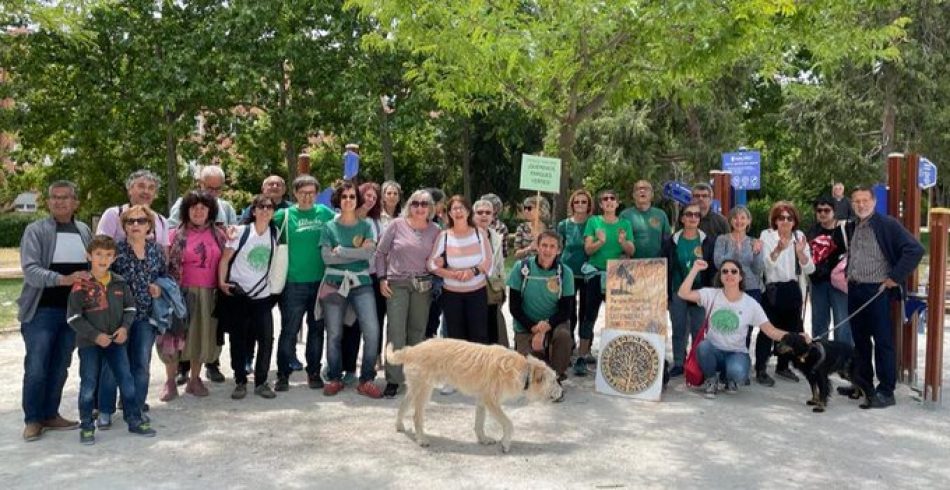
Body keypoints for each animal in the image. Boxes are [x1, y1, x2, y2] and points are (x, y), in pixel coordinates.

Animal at [388, 338, 564, 454]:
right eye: (554, 380)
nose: (563, 392)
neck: (523, 371)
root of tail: (411, 349)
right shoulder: (491, 401)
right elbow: (509, 424)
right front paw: (506, 443)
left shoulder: (482, 400)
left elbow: (479, 423)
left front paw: (483, 439)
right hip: (423, 391)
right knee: (416, 416)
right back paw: (421, 439)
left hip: (416, 389)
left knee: (403, 405)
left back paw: (399, 426)